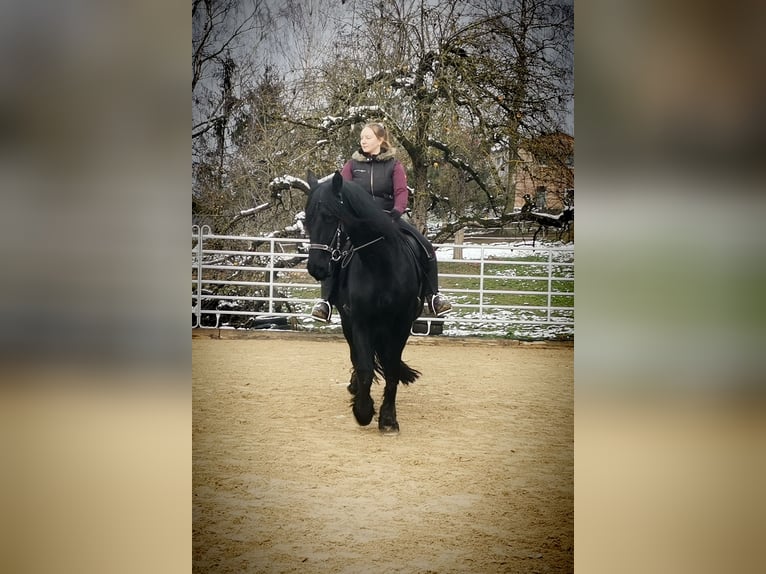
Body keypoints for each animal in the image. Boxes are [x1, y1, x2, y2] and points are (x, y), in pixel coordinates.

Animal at [304, 170, 423, 432]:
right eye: (307, 220)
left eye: (329, 217)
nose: (316, 267)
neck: (381, 264)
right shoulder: (359, 321)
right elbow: (365, 366)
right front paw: (363, 411)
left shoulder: (401, 324)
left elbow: (391, 368)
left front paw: (388, 418)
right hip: (348, 323)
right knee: (356, 357)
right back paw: (356, 388)